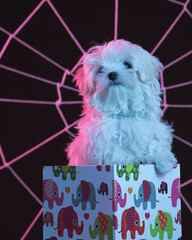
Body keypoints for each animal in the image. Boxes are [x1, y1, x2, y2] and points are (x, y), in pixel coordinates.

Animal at [66, 39, 177, 174]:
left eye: (127, 64)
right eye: (100, 69)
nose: (112, 74)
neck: (122, 110)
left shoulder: (149, 127)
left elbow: (154, 142)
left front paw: (163, 158)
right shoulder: (100, 140)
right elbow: (117, 152)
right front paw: (132, 160)